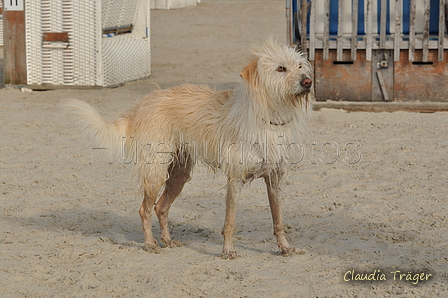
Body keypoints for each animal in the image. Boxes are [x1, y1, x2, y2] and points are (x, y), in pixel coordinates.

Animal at [65, 39, 314, 258]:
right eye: (281, 68)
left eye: (300, 66)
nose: (308, 82)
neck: (271, 118)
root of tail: (142, 104)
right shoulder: (235, 180)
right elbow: (230, 222)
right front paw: (227, 251)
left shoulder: (274, 181)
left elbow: (278, 220)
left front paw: (285, 248)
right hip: (155, 173)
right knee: (145, 209)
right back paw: (150, 244)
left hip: (179, 175)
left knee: (161, 207)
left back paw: (167, 240)